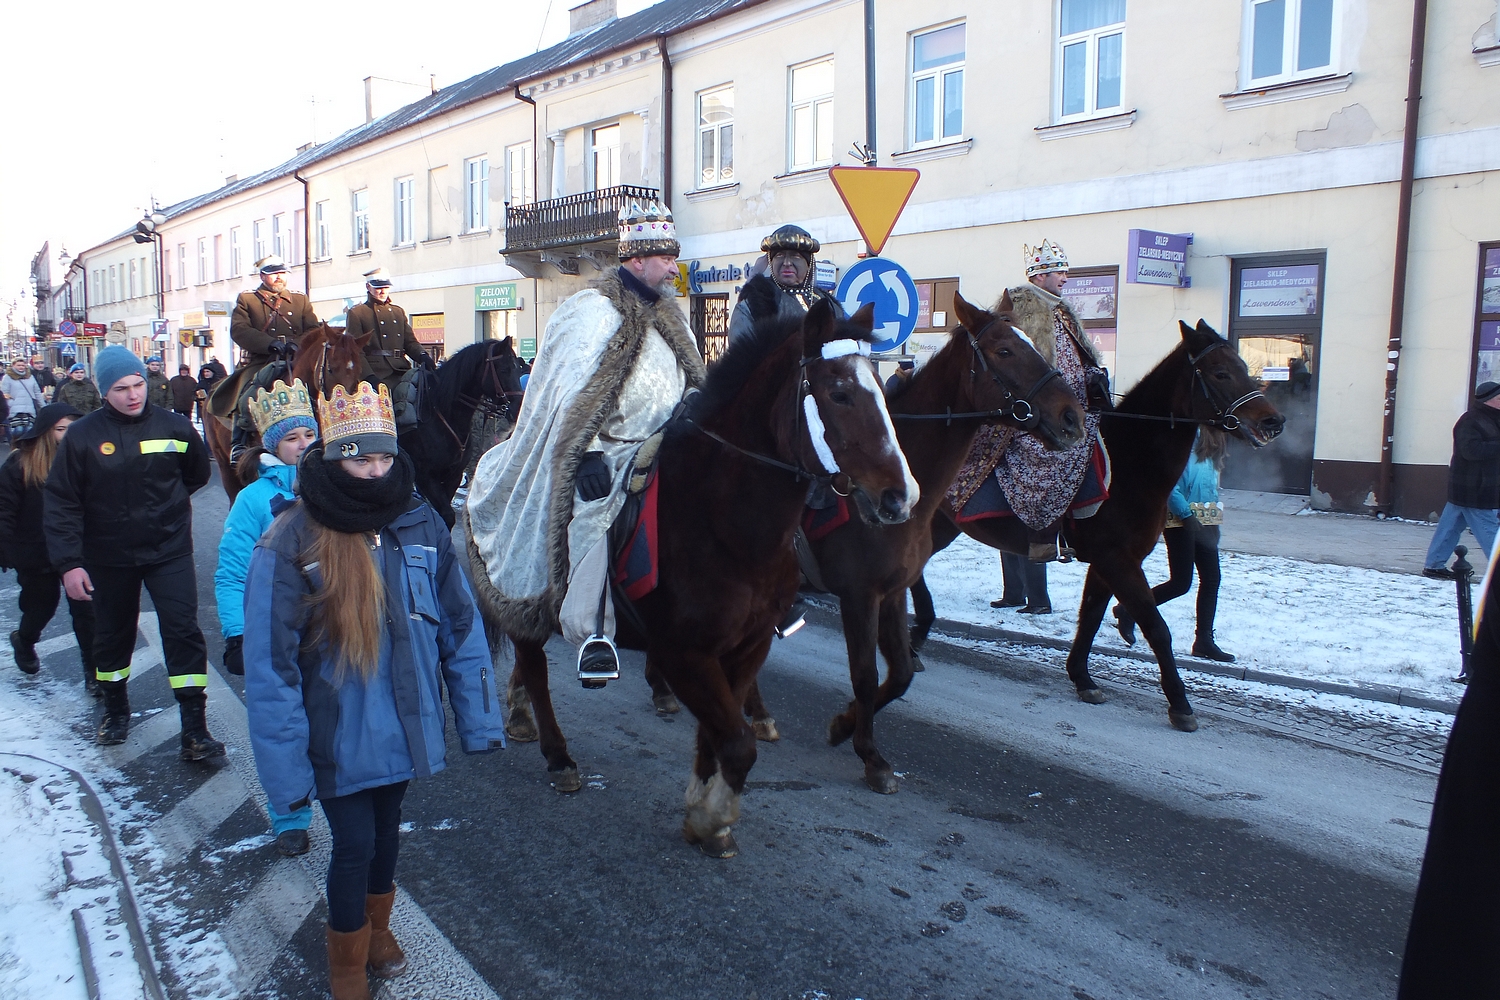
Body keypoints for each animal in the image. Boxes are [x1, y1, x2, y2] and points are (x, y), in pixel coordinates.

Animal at [399, 338, 524, 527]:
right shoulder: (426, 476)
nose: (518, 409)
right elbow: (447, 515)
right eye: (504, 369)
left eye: (517, 368)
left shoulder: (454, 475)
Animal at [471, 298, 918, 858]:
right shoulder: (683, 655)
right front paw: (712, 817)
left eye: (881, 386)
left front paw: (703, 806)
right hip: (526, 586)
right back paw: (558, 756)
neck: (722, 524)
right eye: (839, 392)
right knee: (534, 668)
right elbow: (738, 743)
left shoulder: (746, 648)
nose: (901, 498)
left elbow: (717, 736)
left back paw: (522, 719)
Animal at [715, 290, 1089, 794]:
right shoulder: (860, 596)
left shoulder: (892, 594)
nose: (1072, 416)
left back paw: (756, 713)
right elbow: (866, 673)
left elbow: (900, 675)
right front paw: (869, 754)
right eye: (1005, 350)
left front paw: (845, 725)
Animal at [909, 319, 1286, 732]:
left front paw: (1083, 677)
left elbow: (1090, 617)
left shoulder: (1109, 563)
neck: (1132, 460)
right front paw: (1180, 703)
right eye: (1220, 372)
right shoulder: (1117, 560)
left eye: (1243, 366)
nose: (1274, 421)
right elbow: (1156, 627)